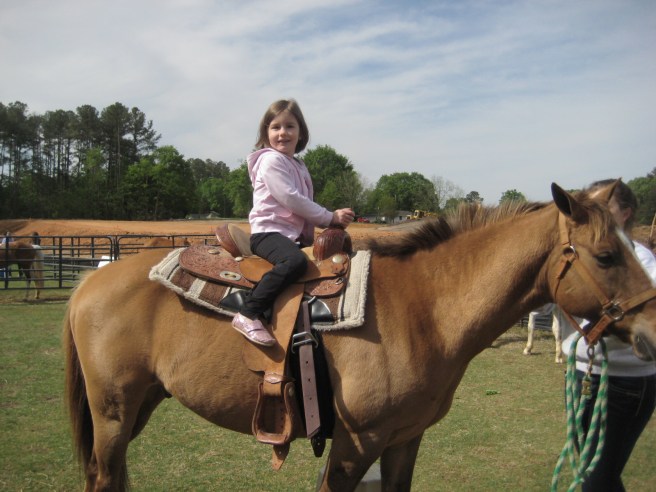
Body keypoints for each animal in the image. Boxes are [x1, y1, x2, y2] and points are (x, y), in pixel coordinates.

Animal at [63, 183, 656, 491]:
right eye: (607, 255)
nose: (652, 329)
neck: (425, 308)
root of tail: (90, 280)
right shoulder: (356, 444)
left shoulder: (404, 440)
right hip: (112, 413)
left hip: (138, 405)